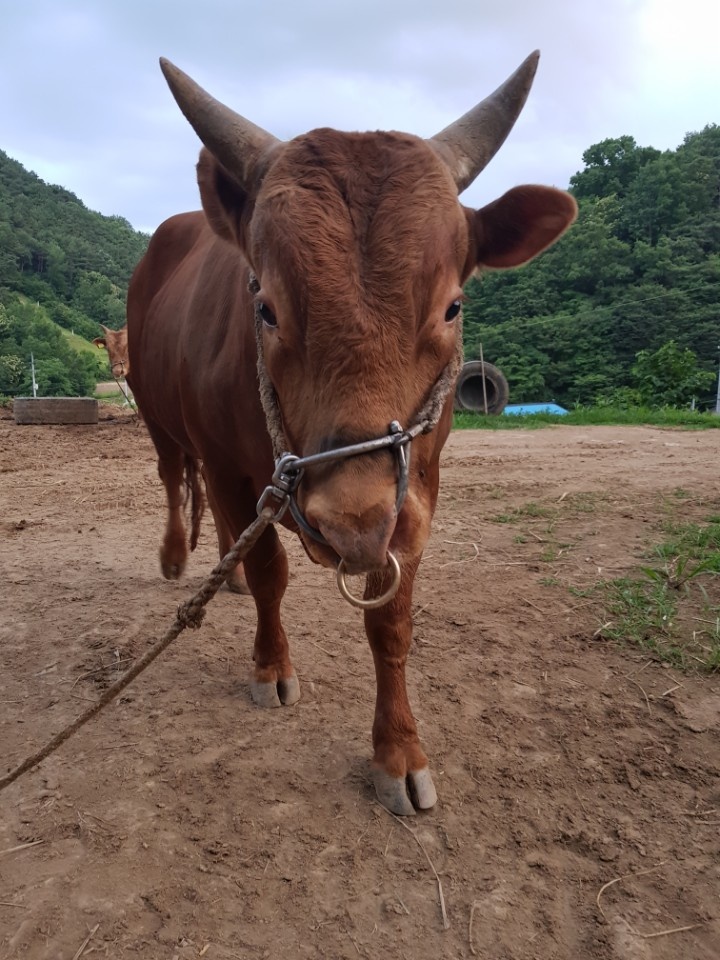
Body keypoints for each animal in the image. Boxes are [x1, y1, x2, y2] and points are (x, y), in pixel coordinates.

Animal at [128, 52, 580, 812]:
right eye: (266, 305)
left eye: (453, 305)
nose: (352, 525)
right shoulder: (227, 463)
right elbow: (270, 569)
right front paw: (270, 665)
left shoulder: (415, 494)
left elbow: (390, 621)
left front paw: (398, 751)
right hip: (153, 408)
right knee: (174, 478)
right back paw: (179, 559)